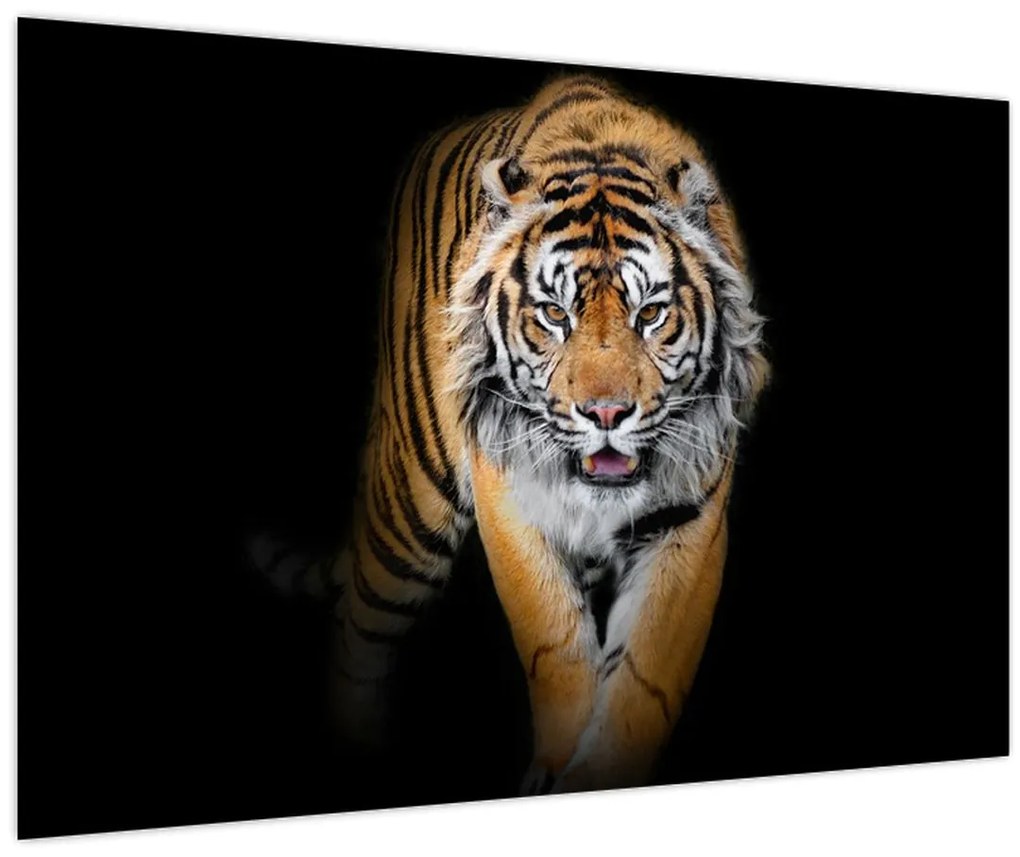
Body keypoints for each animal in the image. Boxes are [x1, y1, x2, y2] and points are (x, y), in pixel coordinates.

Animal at [253, 73, 768, 795]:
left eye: (651, 314)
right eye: (553, 314)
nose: (606, 413)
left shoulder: (692, 514)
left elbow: (647, 677)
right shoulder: (510, 493)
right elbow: (556, 642)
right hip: (412, 505)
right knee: (359, 628)